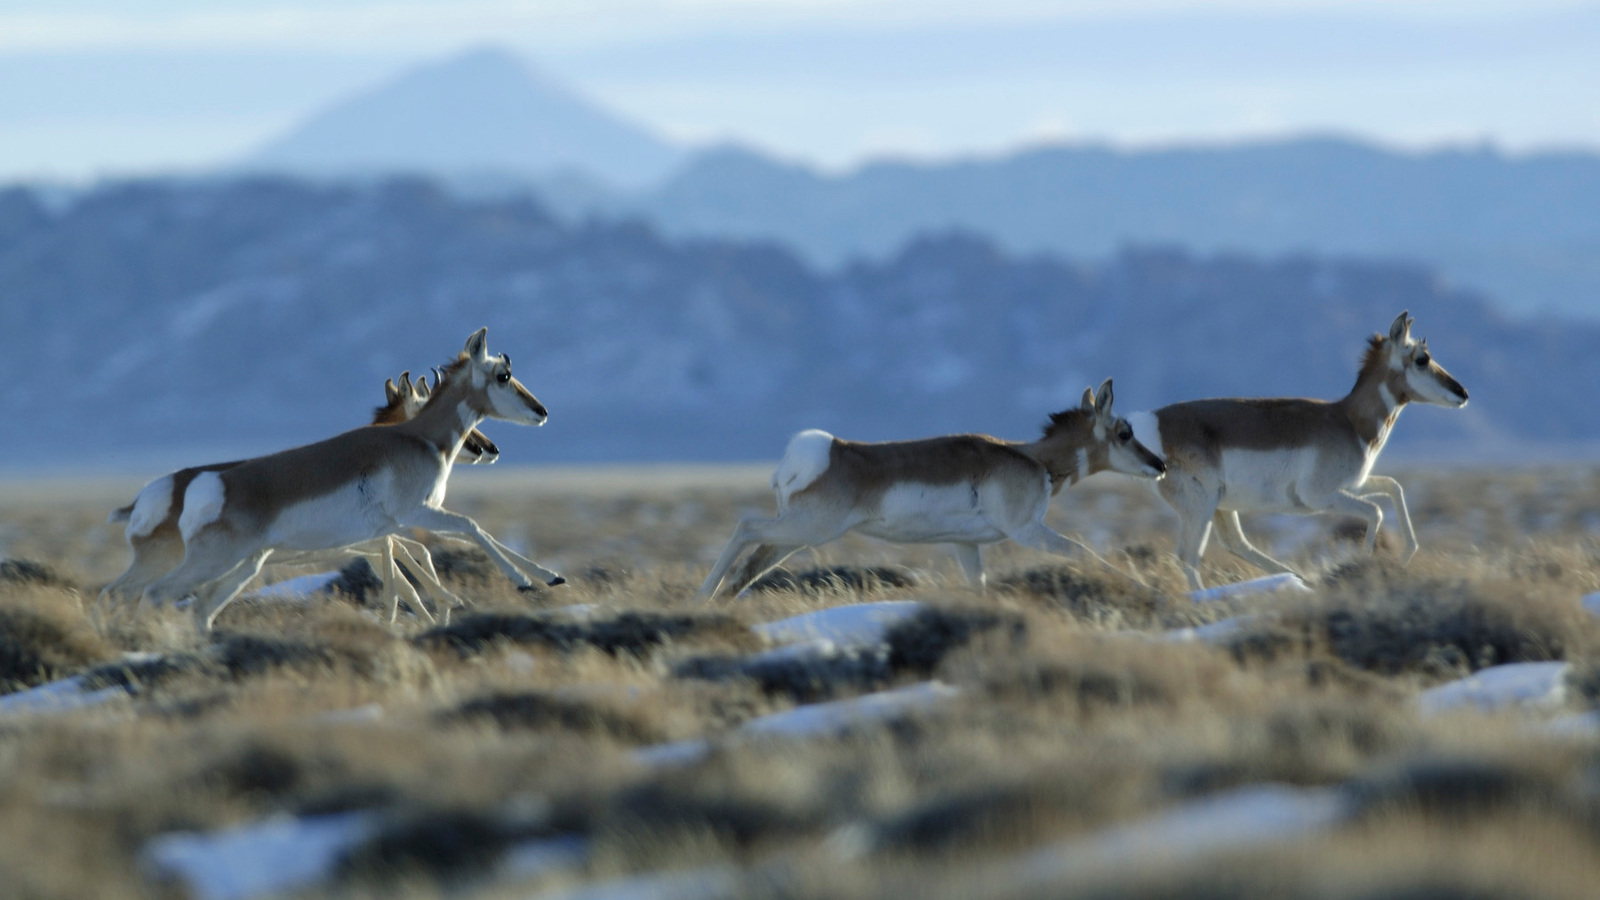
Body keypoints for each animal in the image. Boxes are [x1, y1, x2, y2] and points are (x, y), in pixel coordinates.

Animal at [96, 371, 496, 624]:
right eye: (427, 403)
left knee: (116, 592)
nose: (488, 449)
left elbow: (409, 558)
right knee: (125, 593)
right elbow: (405, 569)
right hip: (169, 563)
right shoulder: (372, 541)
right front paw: (435, 612)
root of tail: (146, 496)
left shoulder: (366, 543)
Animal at [137, 329, 566, 630]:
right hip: (213, 562)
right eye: (503, 375)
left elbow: (467, 537)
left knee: (199, 608)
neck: (418, 437)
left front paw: (550, 576)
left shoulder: (405, 525)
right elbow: (471, 528)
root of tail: (202, 484)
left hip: (243, 566)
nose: (542, 411)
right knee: (155, 594)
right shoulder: (415, 515)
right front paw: (520, 581)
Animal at [697, 374, 1164, 598]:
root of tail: (821, 450)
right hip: (807, 530)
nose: (1159, 464)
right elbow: (1083, 551)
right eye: (1125, 432)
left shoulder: (966, 546)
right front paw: (1144, 587)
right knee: (745, 528)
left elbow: (979, 586)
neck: (1033, 459)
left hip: (794, 537)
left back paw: (717, 600)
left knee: (751, 566)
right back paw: (702, 594)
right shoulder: (1027, 531)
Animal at [1132, 307, 1465, 589]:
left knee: (1235, 544)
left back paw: (1296, 579)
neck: (1348, 419)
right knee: (1189, 557)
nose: (1463, 393)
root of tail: (1149, 419)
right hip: (1201, 507)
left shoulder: (1353, 486)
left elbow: (1394, 487)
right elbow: (1376, 511)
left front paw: (1407, 553)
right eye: (1422, 358)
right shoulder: (1323, 497)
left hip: (1221, 507)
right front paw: (1365, 566)